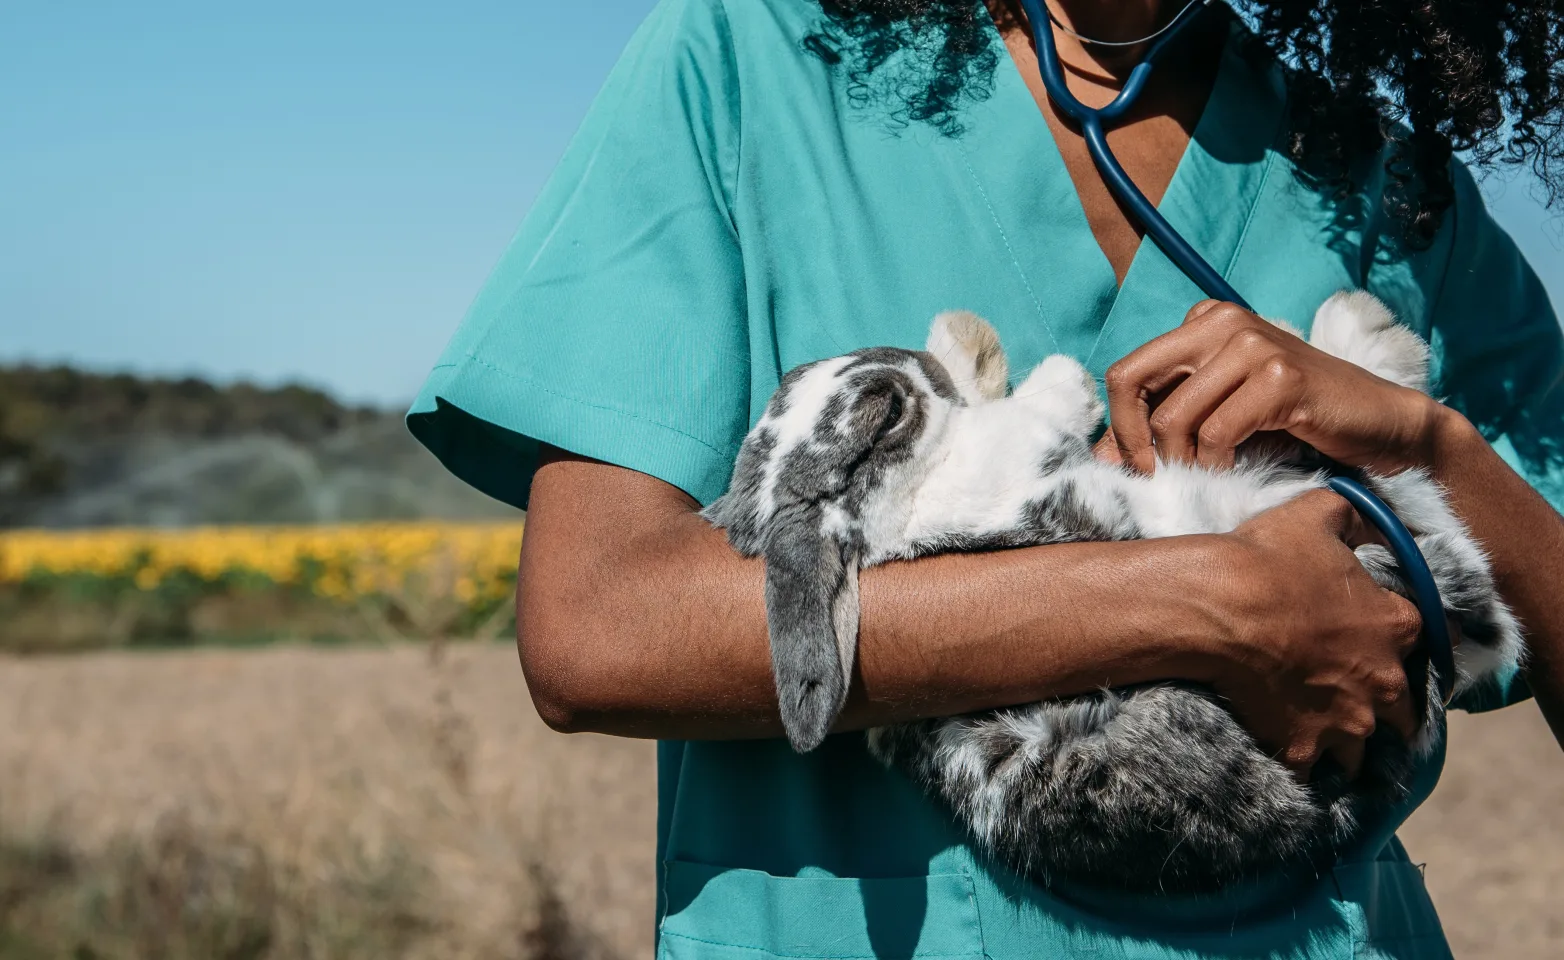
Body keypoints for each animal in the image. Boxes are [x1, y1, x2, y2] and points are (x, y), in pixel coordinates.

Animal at [703, 293, 1520, 894]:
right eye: (887, 410)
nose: (920, 360)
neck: (901, 517)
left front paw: (966, 344)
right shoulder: (1018, 460)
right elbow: (1034, 409)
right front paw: (1012, 359)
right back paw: (1370, 330)